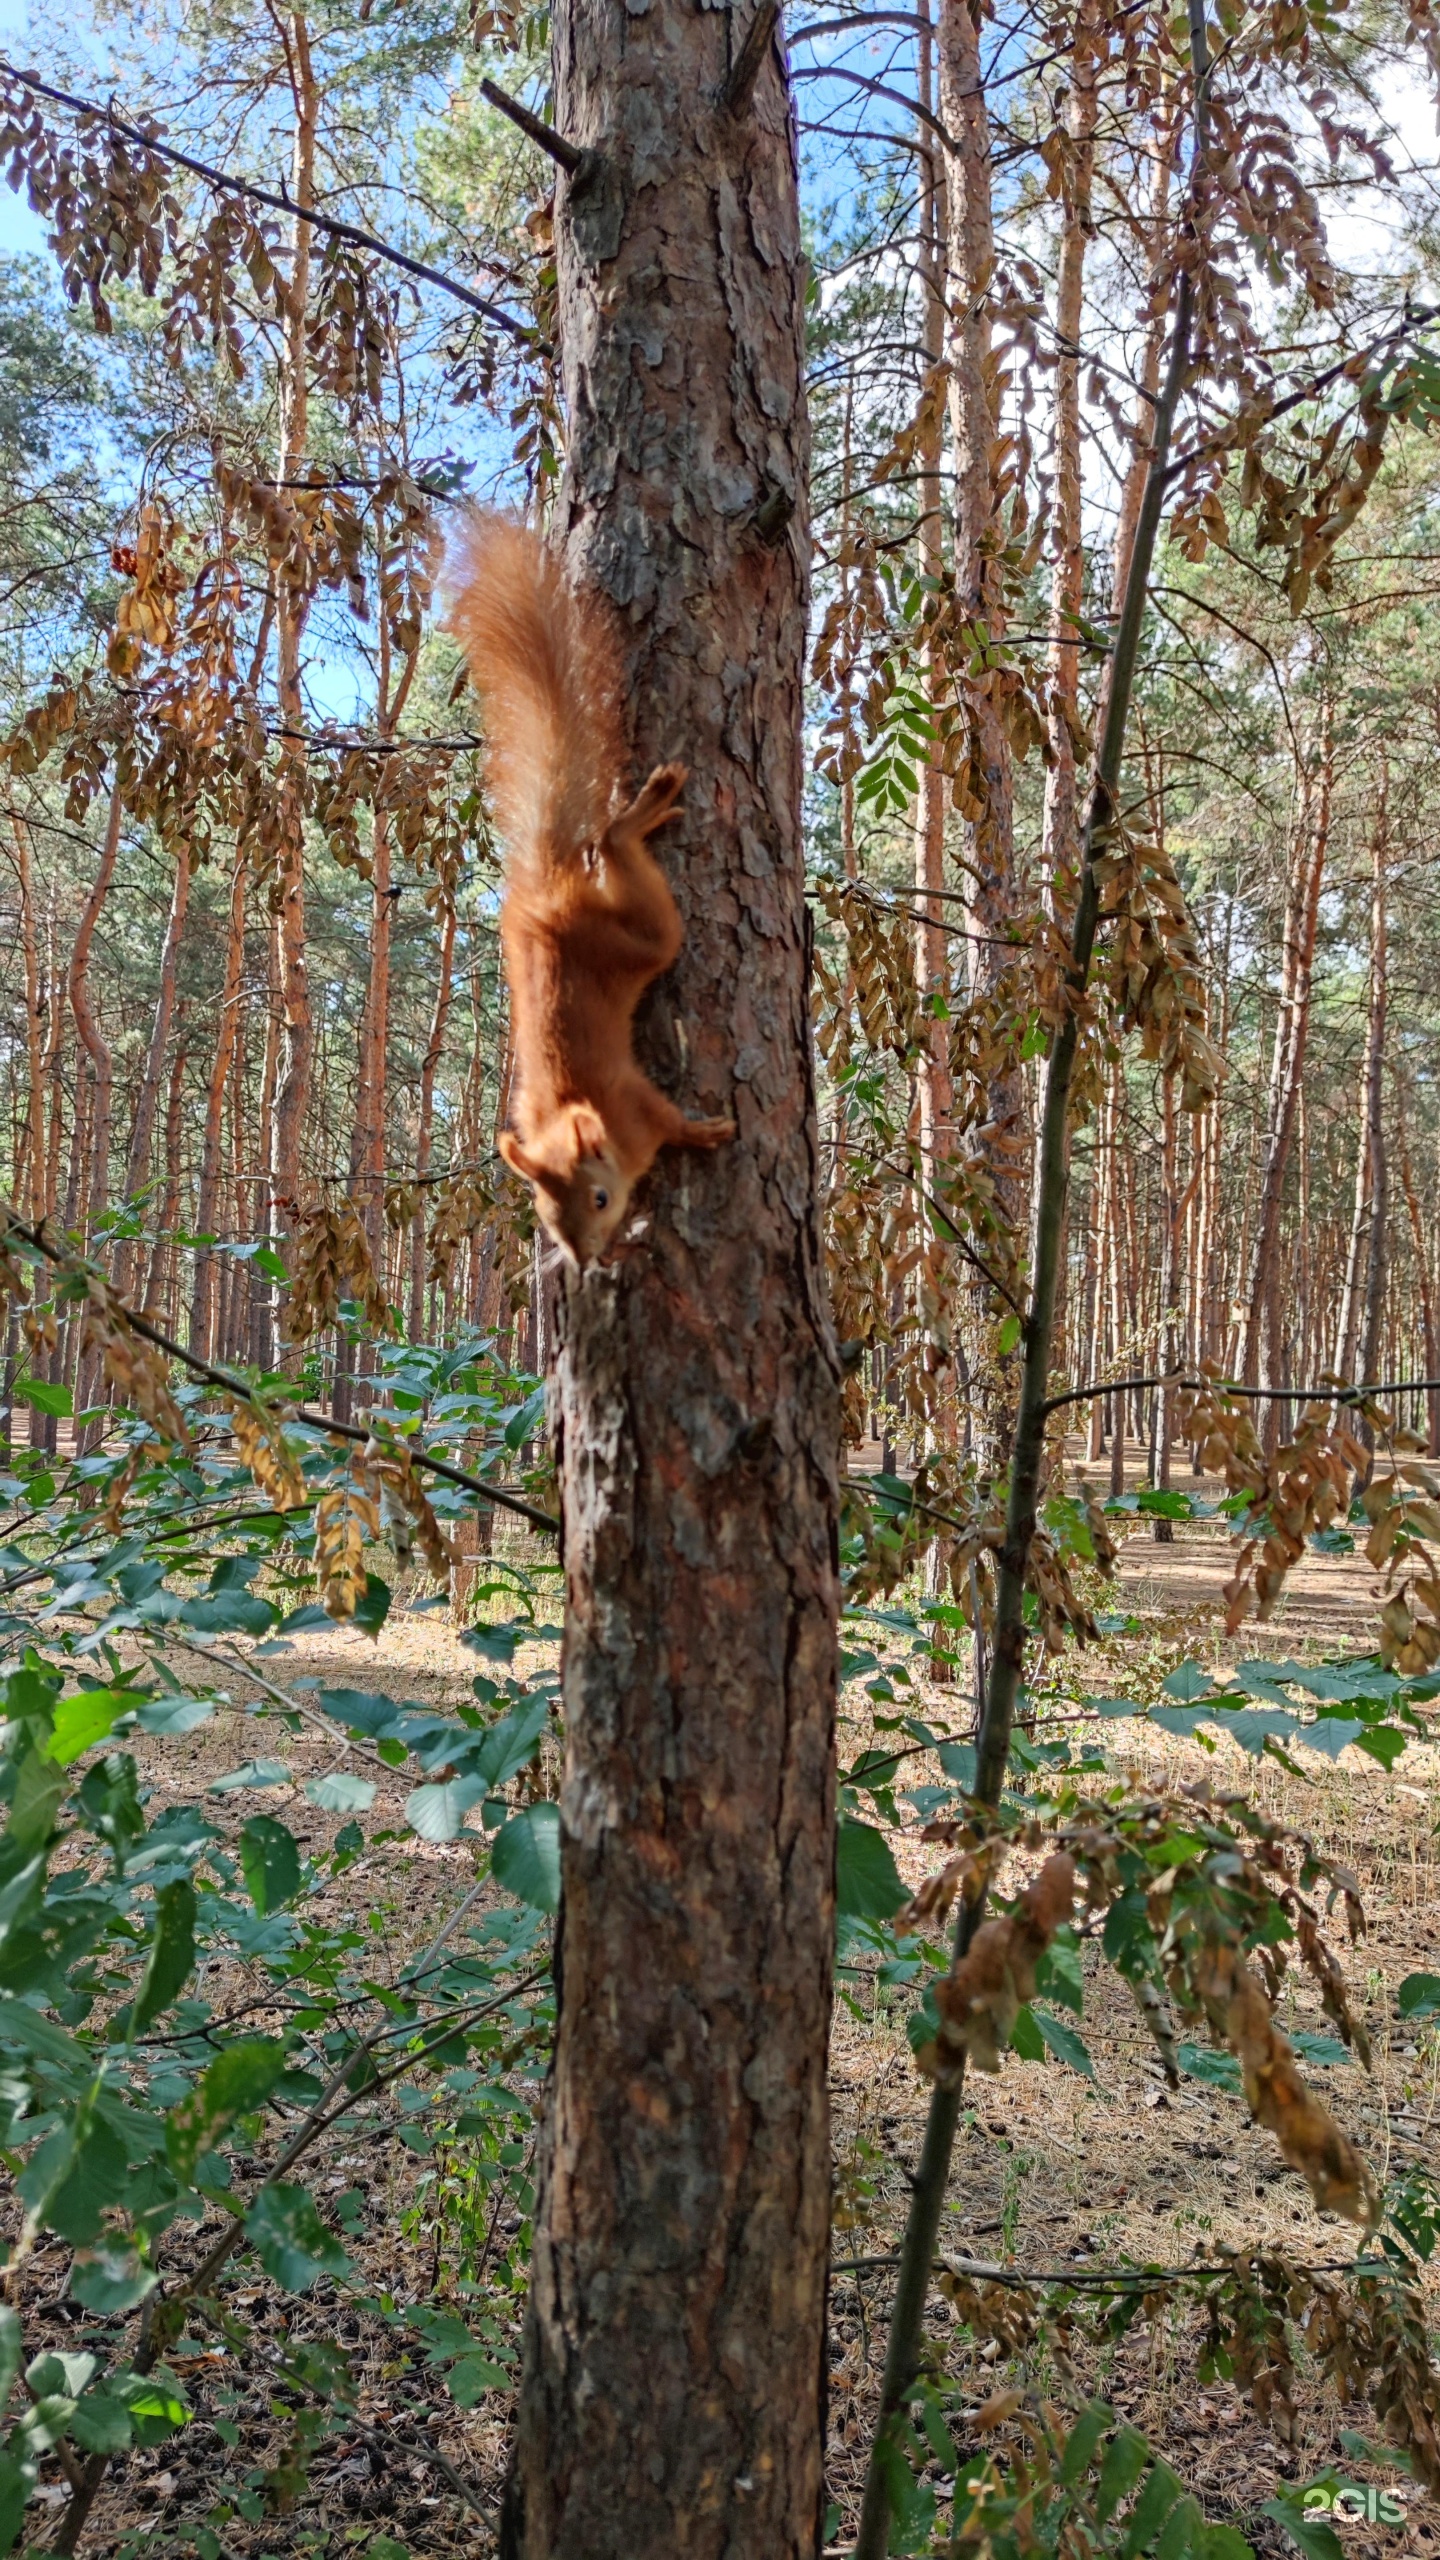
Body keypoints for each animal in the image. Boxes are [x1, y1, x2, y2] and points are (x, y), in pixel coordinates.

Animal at [448, 506, 732, 1259]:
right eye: (546, 1217)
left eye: (599, 1198)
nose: (588, 1260)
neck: (579, 1119)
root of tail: (546, 893)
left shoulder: (637, 1106)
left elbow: (671, 1121)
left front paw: (705, 1132)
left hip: (638, 940)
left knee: (618, 861)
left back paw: (634, 822)